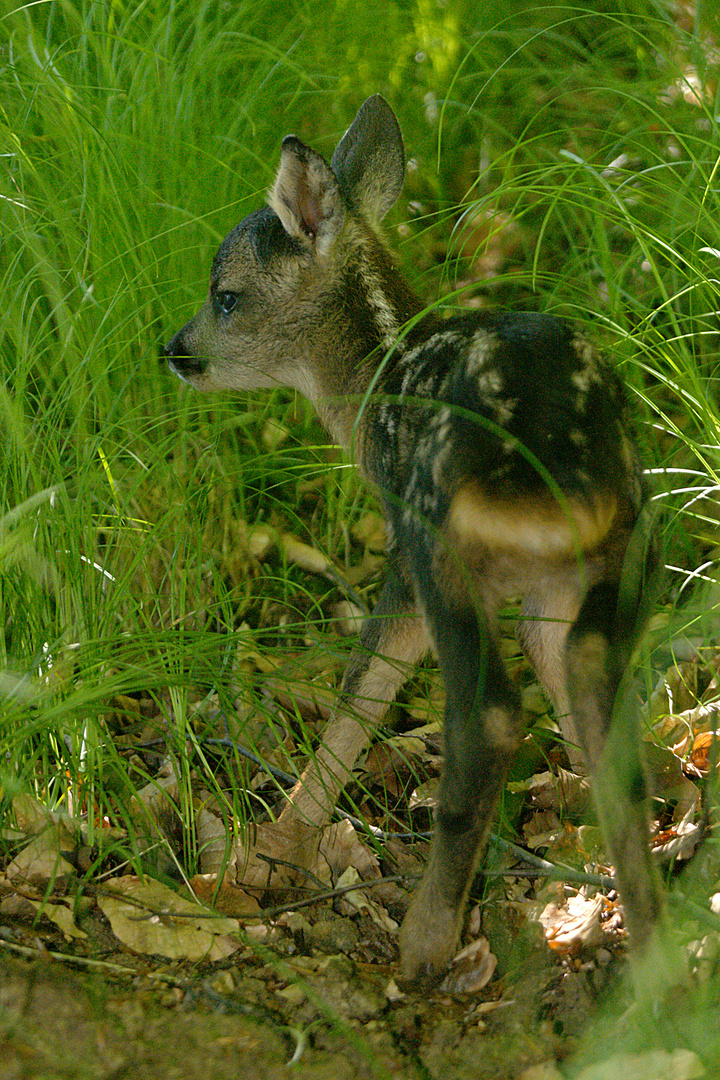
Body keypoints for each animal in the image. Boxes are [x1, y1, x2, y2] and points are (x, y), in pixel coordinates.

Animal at [166, 95, 669, 989]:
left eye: (225, 295)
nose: (175, 351)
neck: (375, 386)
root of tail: (561, 479)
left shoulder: (403, 541)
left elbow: (363, 684)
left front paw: (270, 854)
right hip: (621, 546)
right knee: (599, 700)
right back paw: (653, 962)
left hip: (443, 537)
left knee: (492, 714)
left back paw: (421, 945)